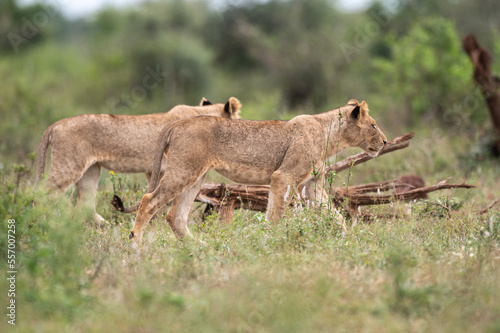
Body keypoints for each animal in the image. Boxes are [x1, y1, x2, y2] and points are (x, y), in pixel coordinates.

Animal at [36, 97, 243, 224]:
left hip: (90, 171)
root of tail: (55, 125)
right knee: (41, 195)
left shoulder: (155, 170)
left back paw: (103, 227)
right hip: (67, 167)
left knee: (84, 205)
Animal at [124, 98, 386, 246]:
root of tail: (176, 124)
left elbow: (335, 216)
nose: (384, 142)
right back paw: (136, 247)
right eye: (373, 125)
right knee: (148, 201)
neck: (329, 135)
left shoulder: (312, 185)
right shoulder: (283, 176)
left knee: (175, 216)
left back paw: (199, 248)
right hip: (183, 171)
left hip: (196, 177)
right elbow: (275, 216)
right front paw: (268, 243)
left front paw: (348, 242)